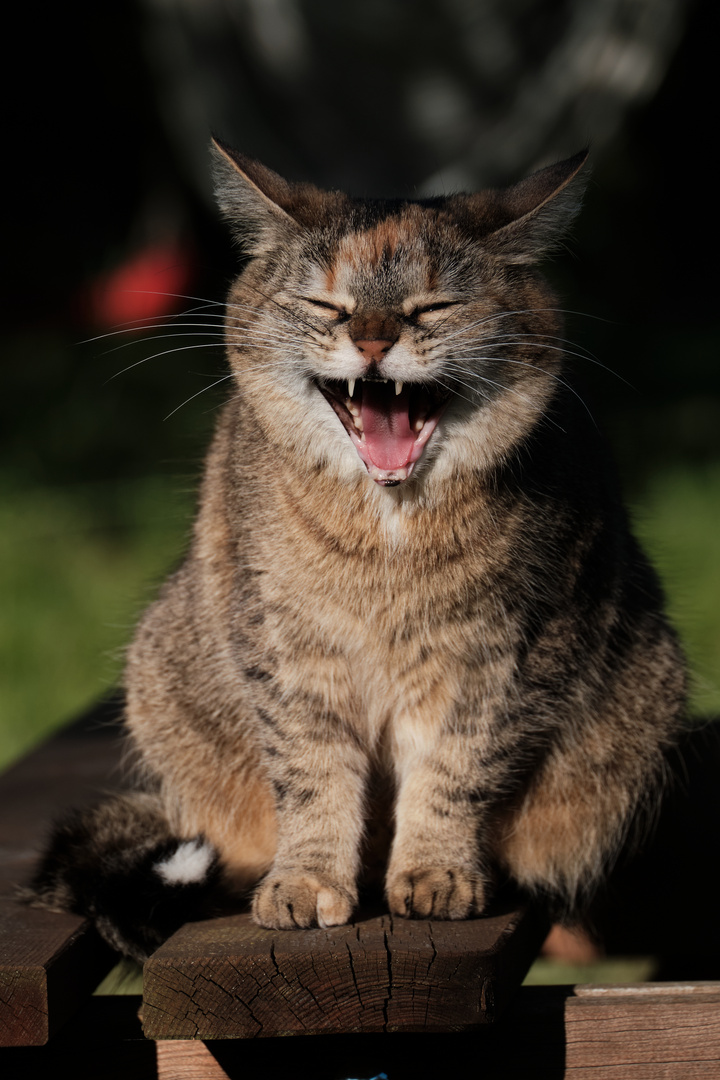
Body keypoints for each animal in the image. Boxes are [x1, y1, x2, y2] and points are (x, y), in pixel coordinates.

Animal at [29, 141, 686, 963]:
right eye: (327, 306)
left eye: (433, 308)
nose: (374, 340)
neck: (387, 529)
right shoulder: (282, 648)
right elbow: (311, 773)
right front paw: (308, 880)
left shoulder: (513, 653)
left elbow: (455, 769)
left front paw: (436, 872)